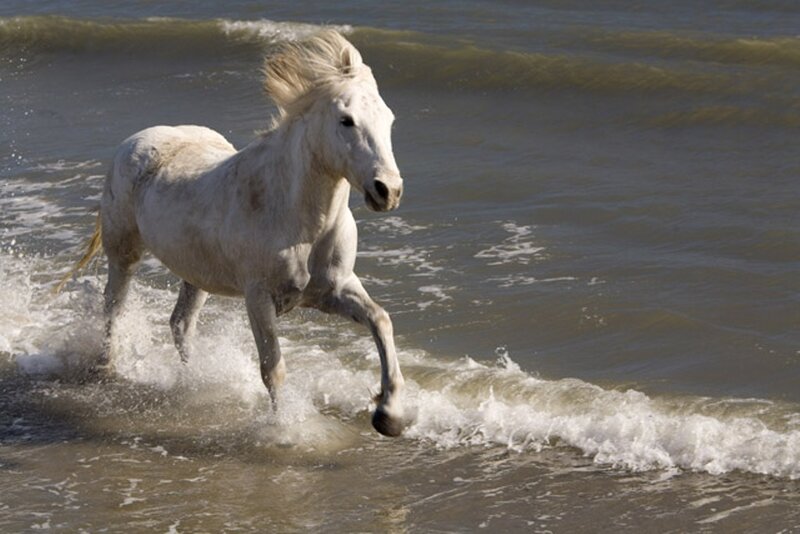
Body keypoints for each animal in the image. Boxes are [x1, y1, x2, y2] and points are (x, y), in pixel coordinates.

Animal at [58, 30, 407, 437]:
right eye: (346, 120)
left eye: (389, 119)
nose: (388, 190)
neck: (297, 220)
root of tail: (136, 139)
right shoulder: (258, 298)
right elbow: (273, 368)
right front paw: (288, 431)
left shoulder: (334, 290)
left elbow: (380, 320)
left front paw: (389, 416)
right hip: (124, 253)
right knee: (114, 307)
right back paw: (107, 368)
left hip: (196, 274)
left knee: (181, 324)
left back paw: (195, 384)